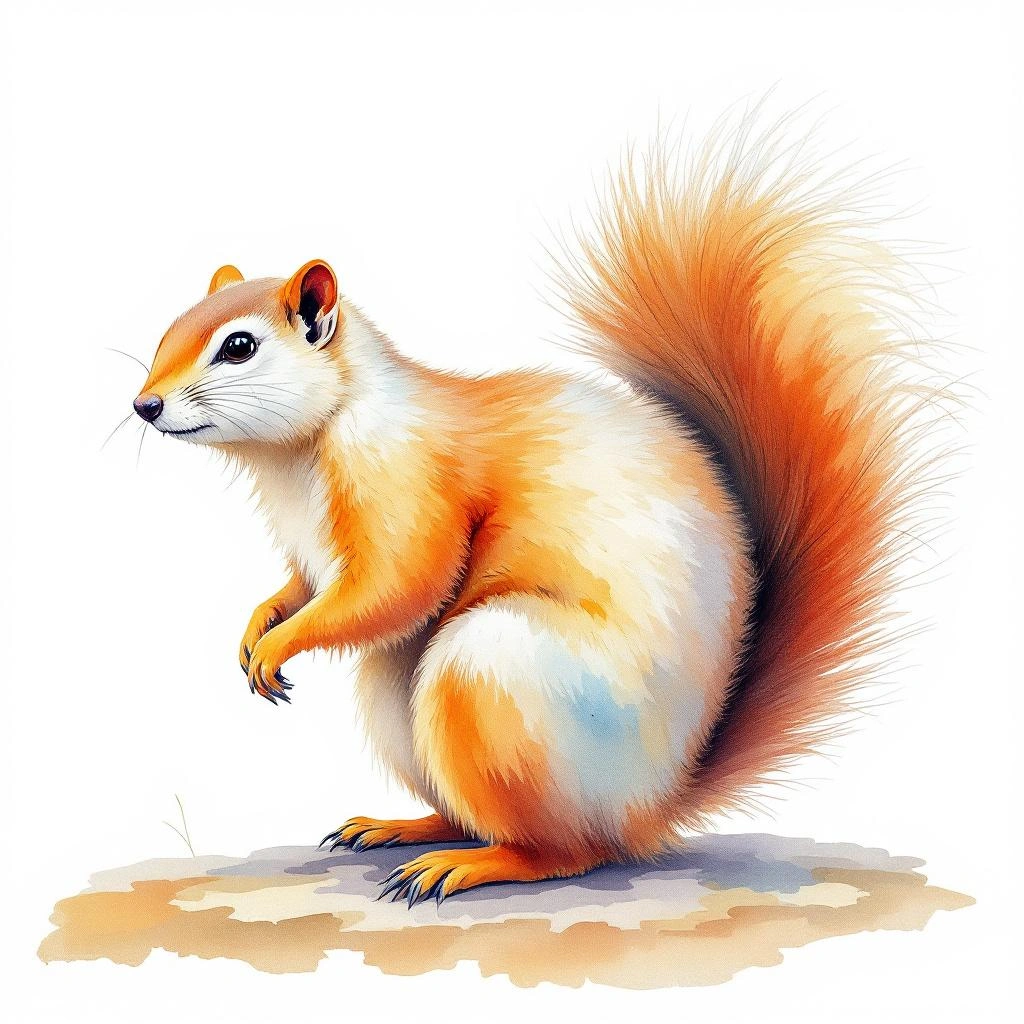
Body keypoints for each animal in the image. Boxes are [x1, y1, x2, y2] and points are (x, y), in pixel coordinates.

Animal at [132, 120, 944, 905]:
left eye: (239, 346)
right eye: (167, 330)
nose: (144, 405)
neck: (299, 448)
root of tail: (648, 805)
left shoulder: (407, 481)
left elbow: (399, 583)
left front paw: (280, 644)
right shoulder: (310, 546)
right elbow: (303, 585)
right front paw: (258, 625)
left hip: (489, 675)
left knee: (568, 851)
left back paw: (474, 865)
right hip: (401, 699)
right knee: (468, 807)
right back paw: (404, 828)